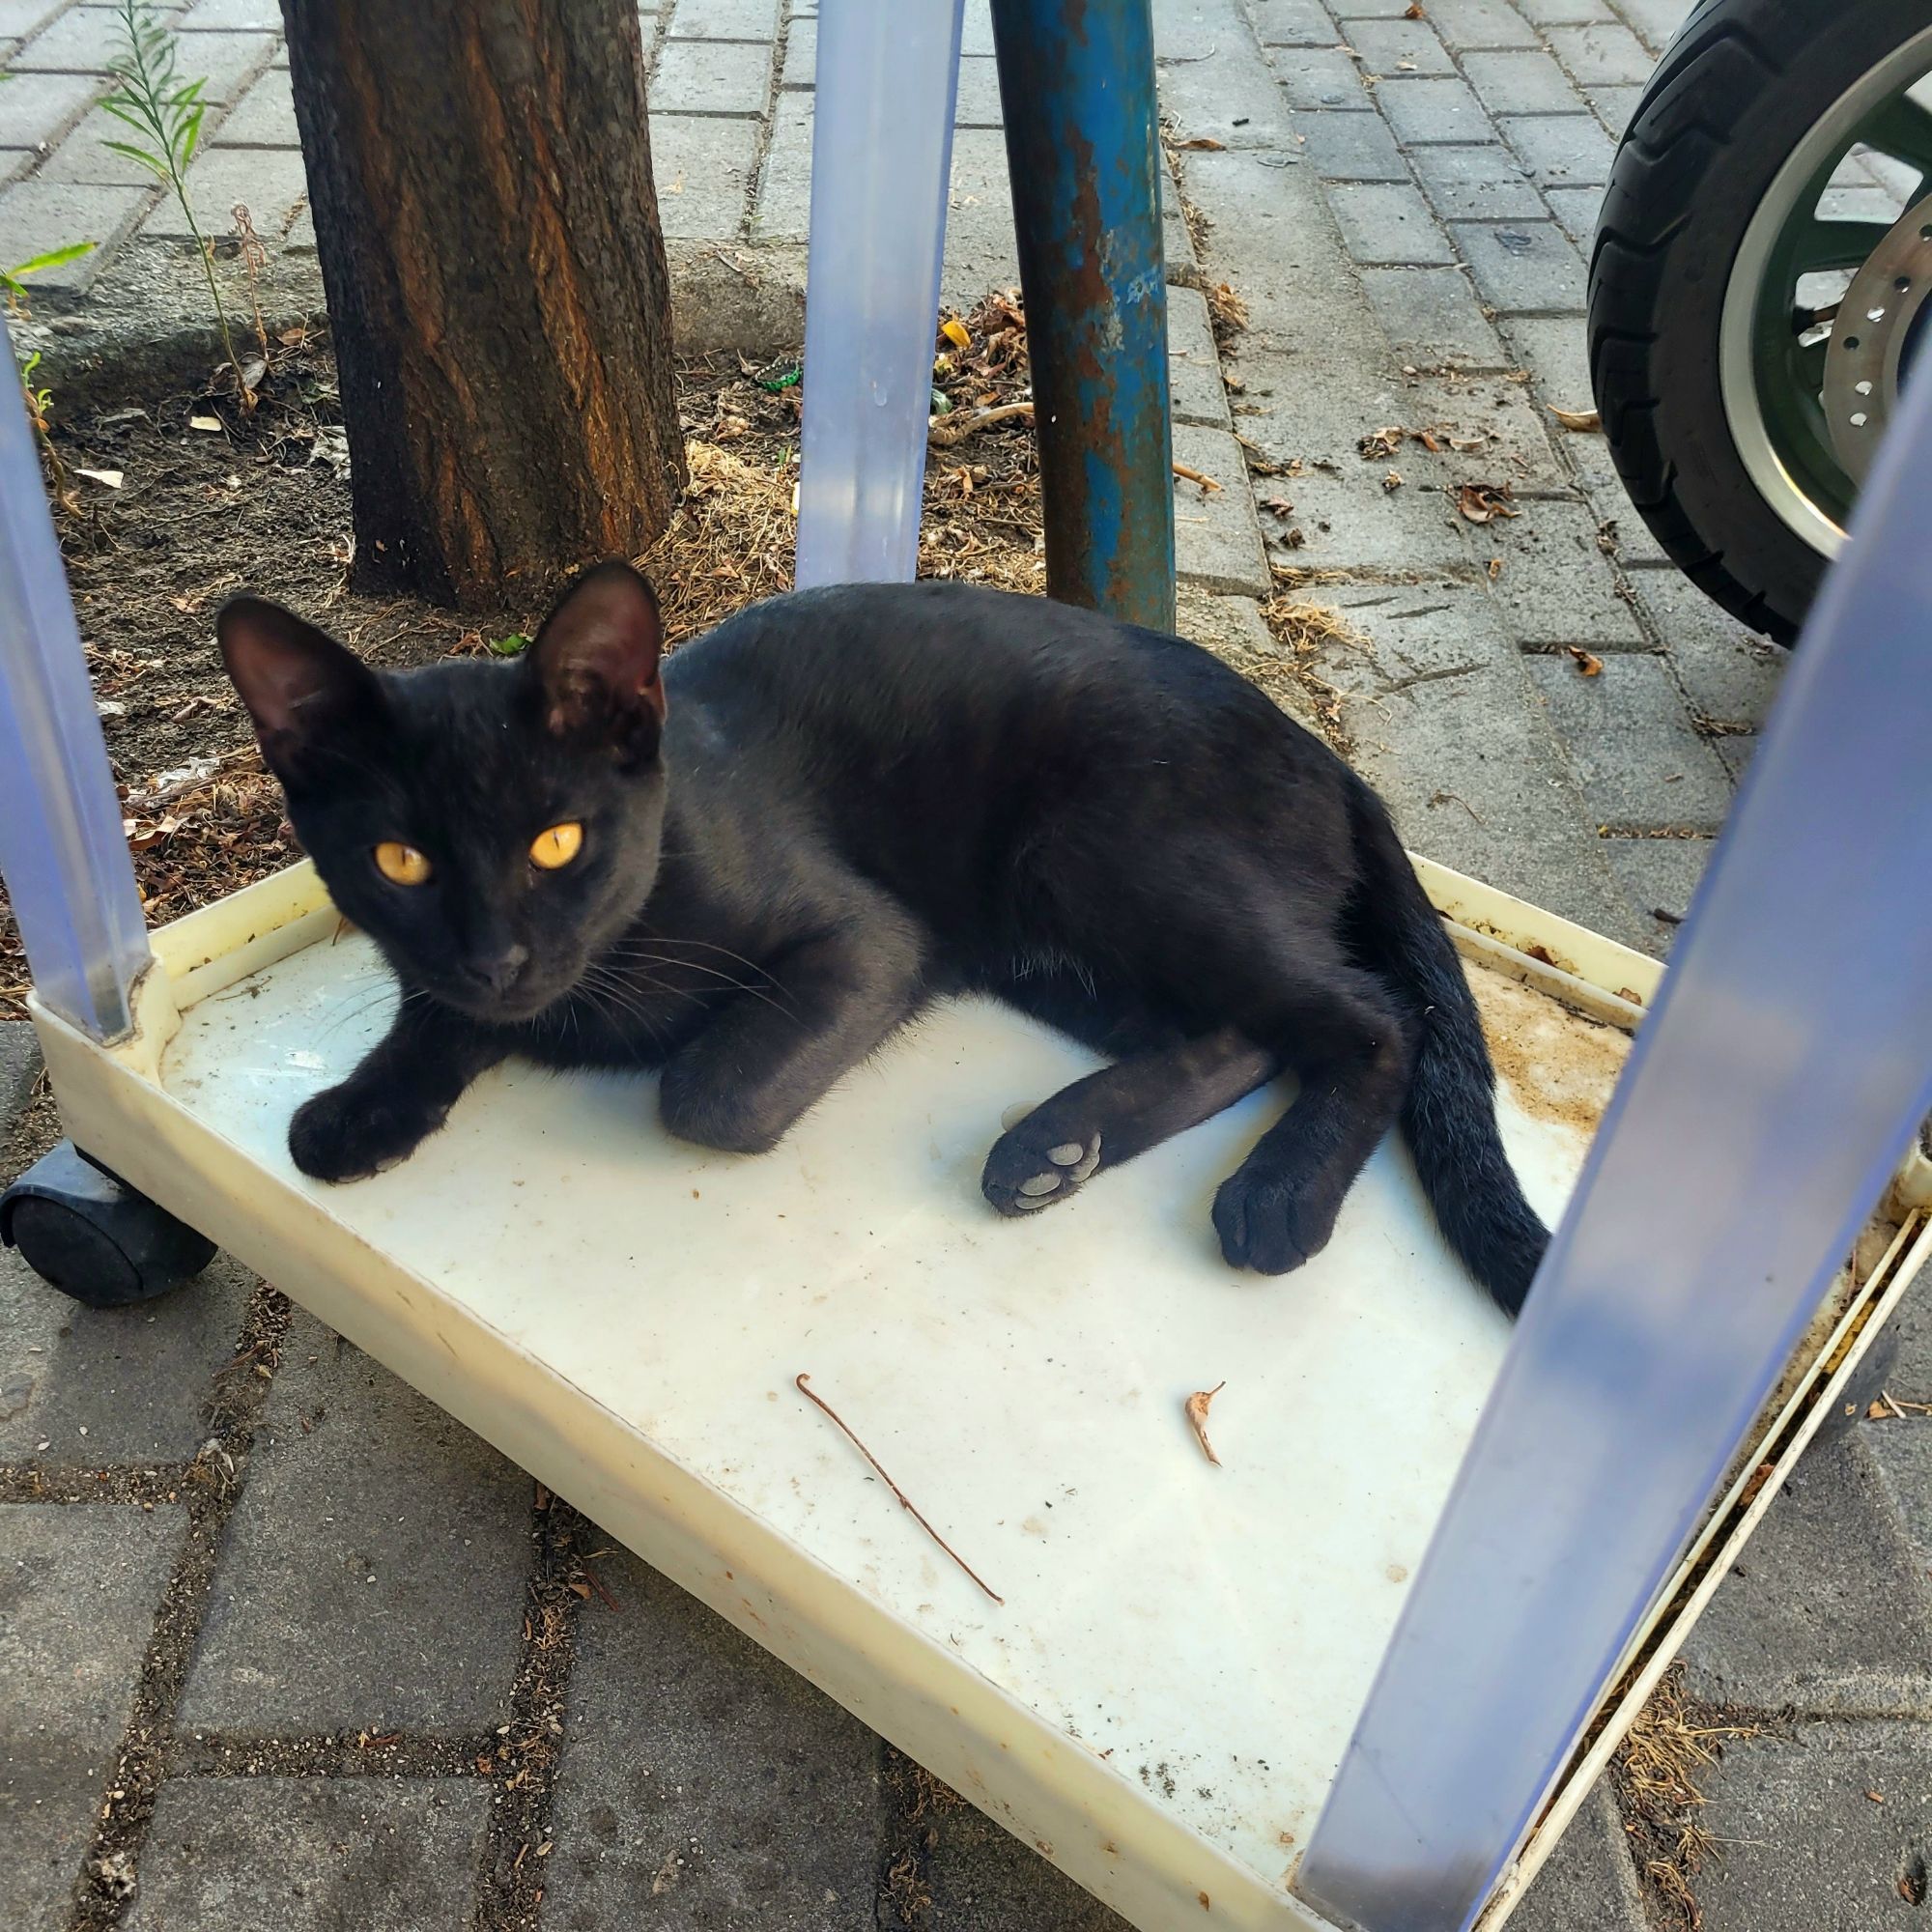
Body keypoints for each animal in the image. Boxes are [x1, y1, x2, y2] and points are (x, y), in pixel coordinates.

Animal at [219, 560, 1546, 1314]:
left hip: (1099, 855)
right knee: (1245, 1033)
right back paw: (1057, 1144)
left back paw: (1275, 1193)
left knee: (1372, 1018)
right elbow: (433, 1015)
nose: (498, 954)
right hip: (1060, 936)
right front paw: (362, 1105)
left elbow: (707, 1089)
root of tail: (1329, 758)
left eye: (557, 842)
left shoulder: (868, 939)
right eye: (399, 861)